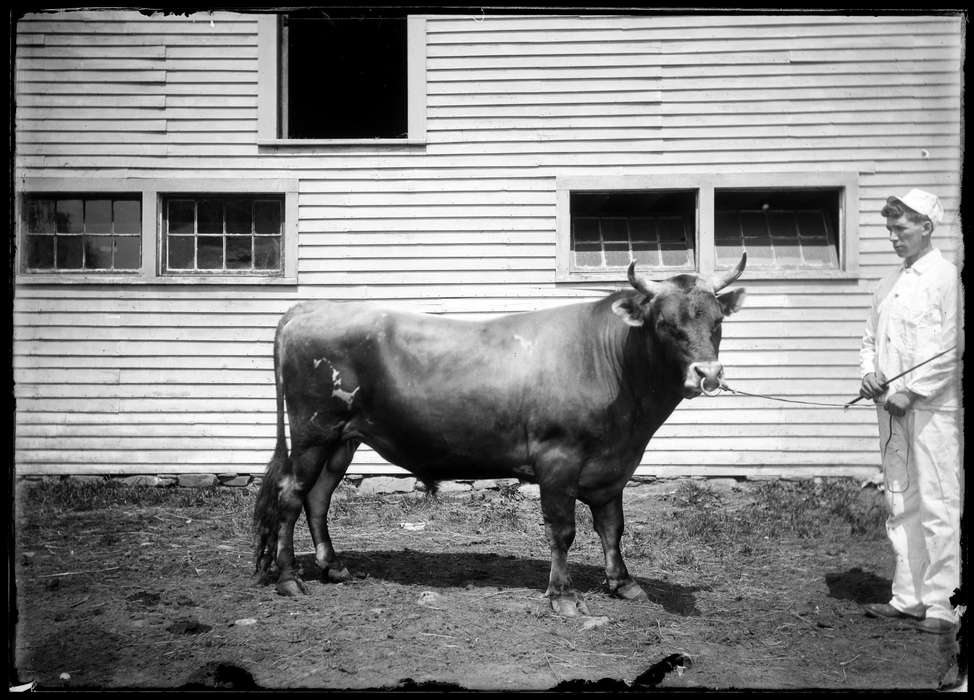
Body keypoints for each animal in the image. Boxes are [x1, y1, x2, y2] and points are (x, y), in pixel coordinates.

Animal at [252, 254, 748, 616]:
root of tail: (311, 308)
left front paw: (624, 584)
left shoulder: (613, 467)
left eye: (718, 321)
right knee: (291, 494)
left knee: (319, 496)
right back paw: (289, 579)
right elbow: (563, 530)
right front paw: (563, 595)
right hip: (314, 429)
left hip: (344, 438)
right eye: (665, 323)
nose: (709, 374)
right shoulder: (558, 459)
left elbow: (612, 526)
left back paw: (333, 567)